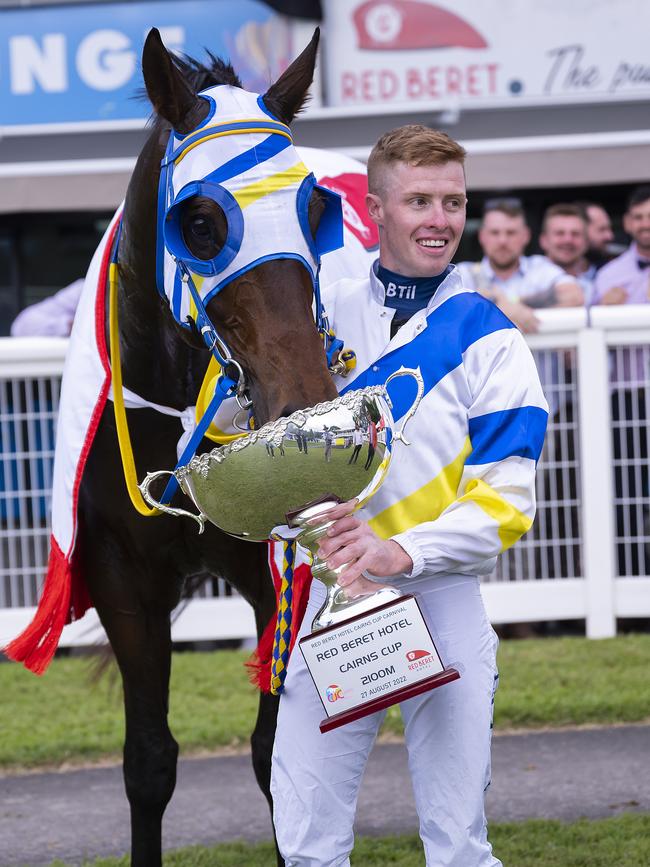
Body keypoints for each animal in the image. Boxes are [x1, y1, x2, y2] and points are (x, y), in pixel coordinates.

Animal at [8, 27, 370, 867]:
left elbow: (276, 752)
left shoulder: (275, 571)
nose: (305, 397)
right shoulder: (121, 575)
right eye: (200, 221)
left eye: (314, 207)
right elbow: (149, 761)